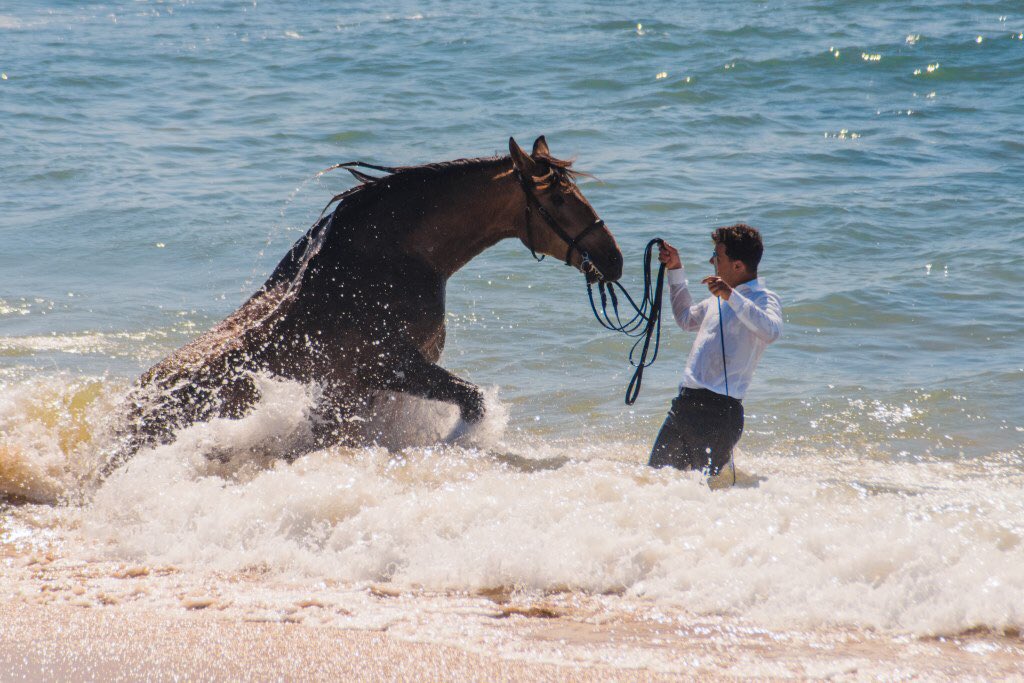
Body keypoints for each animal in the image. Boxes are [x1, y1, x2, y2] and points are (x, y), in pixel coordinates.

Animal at [104, 136, 623, 472]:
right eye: (559, 197)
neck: (391, 259)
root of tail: (126, 412)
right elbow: (472, 401)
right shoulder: (391, 364)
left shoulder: (372, 383)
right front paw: (453, 445)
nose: (614, 259)